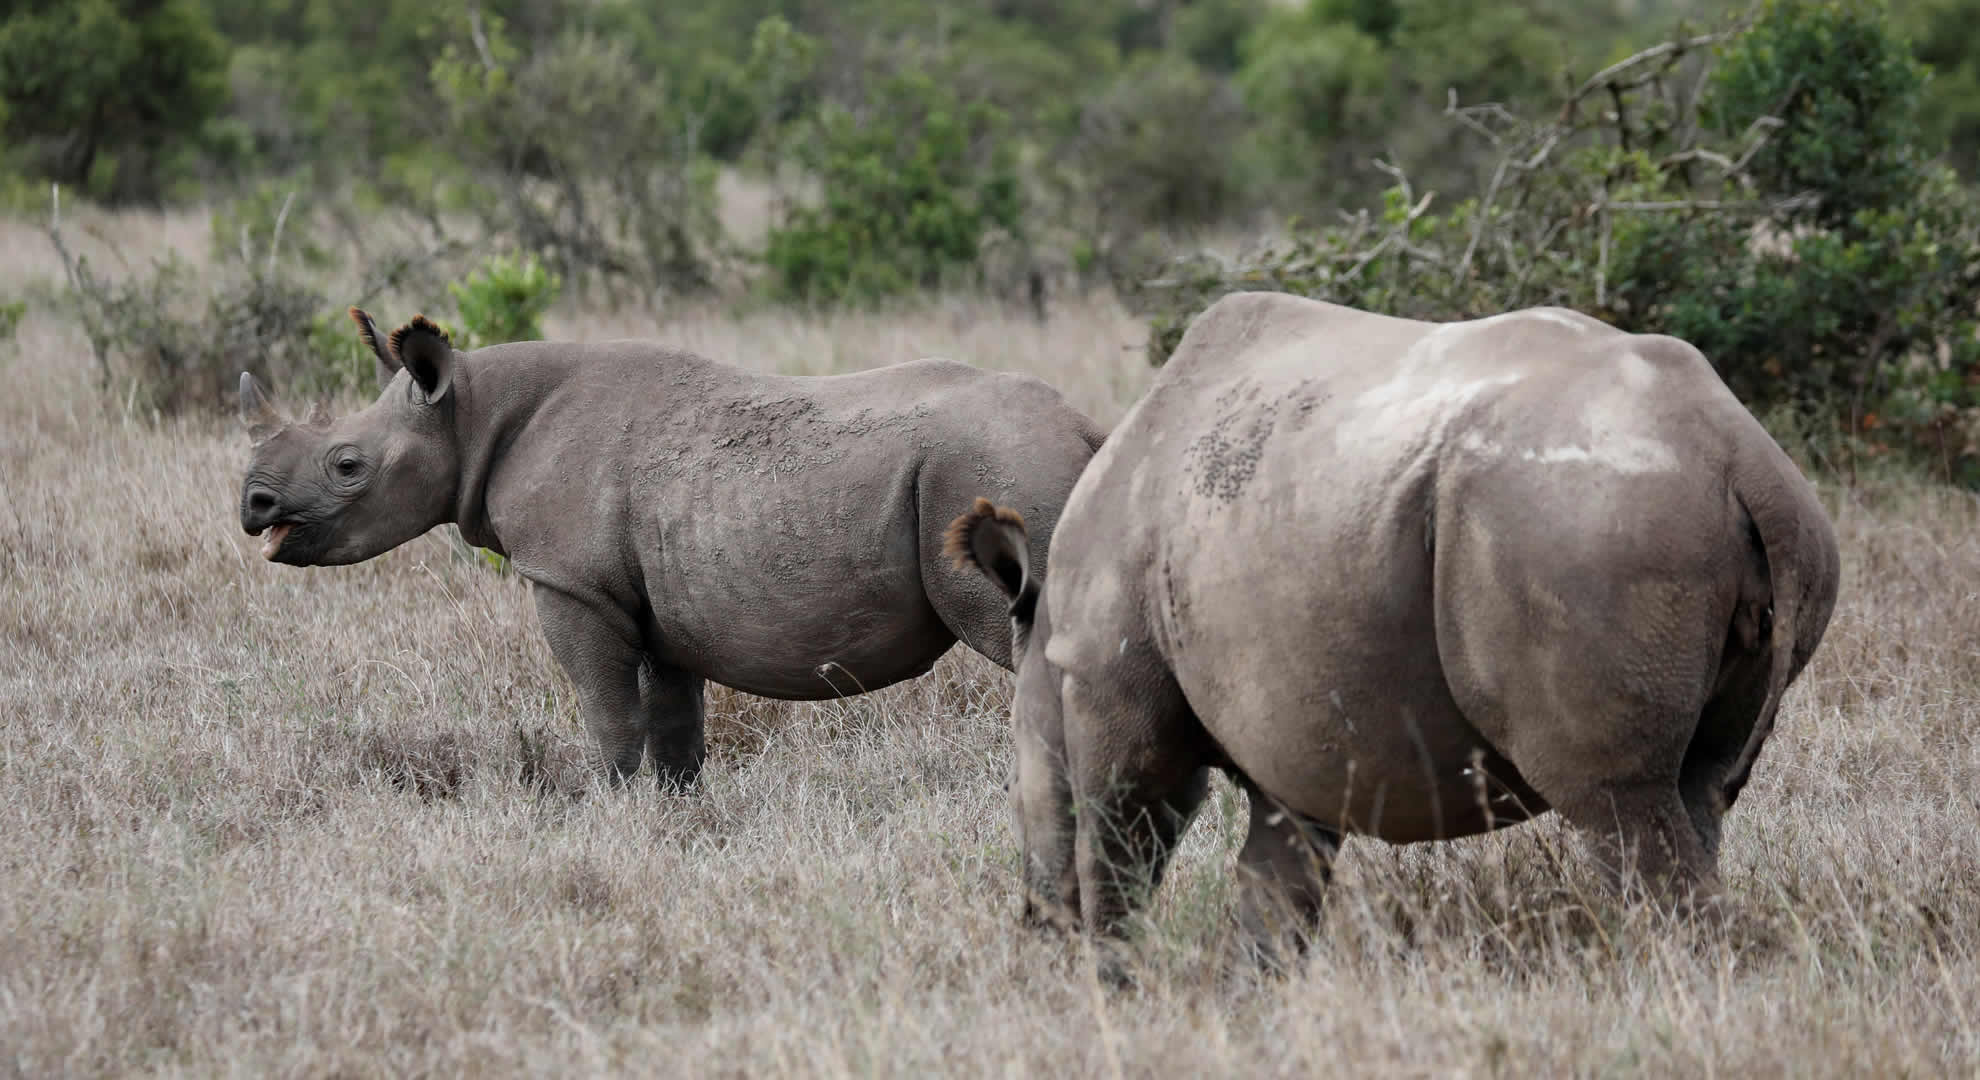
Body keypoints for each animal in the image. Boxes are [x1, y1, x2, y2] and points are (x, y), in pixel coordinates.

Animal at [241, 307, 1108, 788]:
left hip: (996, 466)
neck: (471, 410)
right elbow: (674, 730)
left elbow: (608, 714)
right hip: (1013, 467)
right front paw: (678, 819)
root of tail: (1087, 425)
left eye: (347, 465)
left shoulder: (571, 584)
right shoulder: (661, 602)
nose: (254, 505)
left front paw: (615, 809)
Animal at [946, 291, 1837, 955]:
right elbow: (1277, 884)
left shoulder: (1109, 683)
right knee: (1700, 788)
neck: (1047, 637)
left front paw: (1115, 983)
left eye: (1016, 790)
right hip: (1696, 522)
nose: (1034, 926)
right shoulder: (1293, 724)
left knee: (1619, 804)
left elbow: (1121, 837)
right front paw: (1254, 993)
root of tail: (1741, 453)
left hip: (1588, 525)